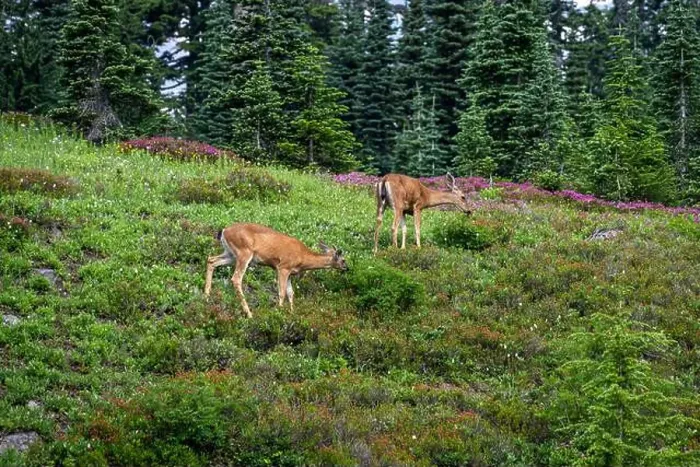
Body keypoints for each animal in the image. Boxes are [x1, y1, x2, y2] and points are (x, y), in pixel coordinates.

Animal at [204, 223, 348, 318]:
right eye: (343, 259)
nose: (347, 268)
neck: (303, 256)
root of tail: (224, 231)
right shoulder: (283, 267)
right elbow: (282, 292)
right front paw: (279, 313)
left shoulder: (290, 273)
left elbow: (291, 293)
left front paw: (292, 314)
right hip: (244, 253)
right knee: (236, 278)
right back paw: (249, 314)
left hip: (230, 254)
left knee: (211, 260)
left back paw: (206, 297)